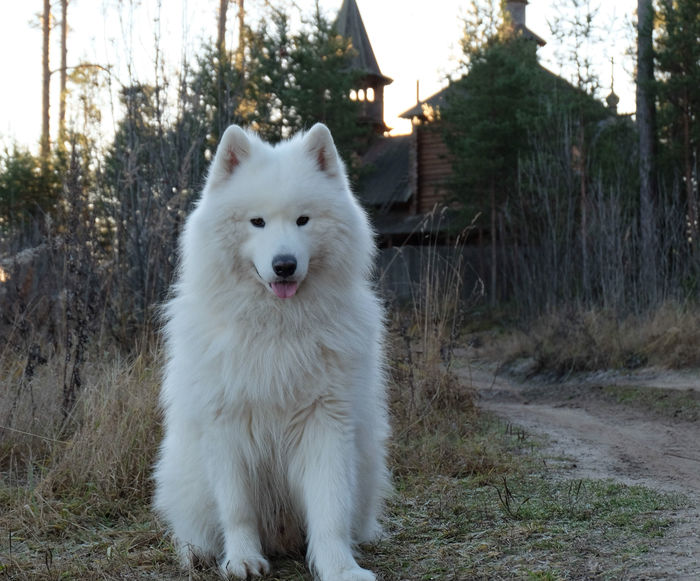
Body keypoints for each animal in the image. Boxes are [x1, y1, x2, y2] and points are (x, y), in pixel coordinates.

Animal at [153, 123, 392, 580]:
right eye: (257, 222)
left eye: (303, 220)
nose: (284, 265)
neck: (276, 330)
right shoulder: (225, 427)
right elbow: (237, 510)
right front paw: (242, 560)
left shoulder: (326, 421)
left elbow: (329, 509)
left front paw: (340, 567)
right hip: (186, 476)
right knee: (193, 527)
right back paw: (197, 554)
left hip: (367, 466)